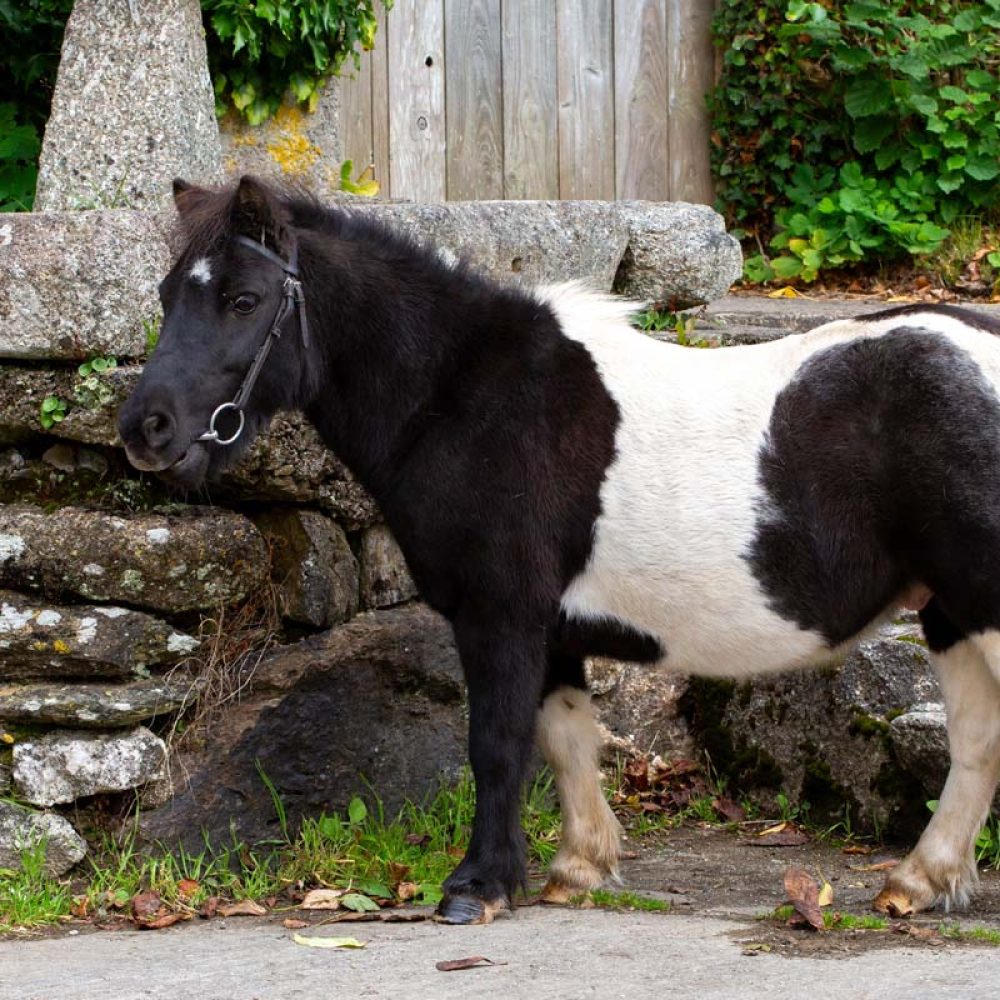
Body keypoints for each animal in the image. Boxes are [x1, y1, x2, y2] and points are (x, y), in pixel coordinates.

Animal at [119, 175, 1000, 924]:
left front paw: (476, 889)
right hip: (951, 611)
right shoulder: (549, 627)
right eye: (167, 295)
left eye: (243, 299)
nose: (145, 430)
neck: (463, 396)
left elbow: (497, 746)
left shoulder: (499, 613)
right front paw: (577, 868)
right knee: (975, 746)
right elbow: (566, 738)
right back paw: (918, 882)